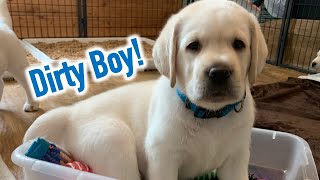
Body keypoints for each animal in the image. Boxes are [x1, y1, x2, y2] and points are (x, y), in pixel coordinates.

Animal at [23, 0, 268, 180]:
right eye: (193, 46)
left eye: (239, 44)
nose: (218, 72)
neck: (209, 114)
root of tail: (71, 113)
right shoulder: (163, 159)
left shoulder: (236, 159)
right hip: (115, 140)